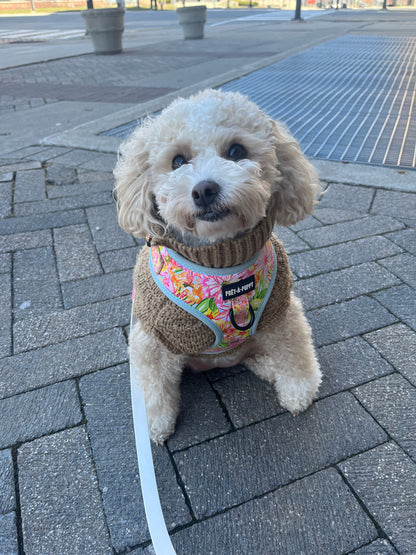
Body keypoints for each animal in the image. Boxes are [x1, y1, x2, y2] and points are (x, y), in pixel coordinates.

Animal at [114, 89, 322, 446]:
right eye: (178, 161)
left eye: (236, 151)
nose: (204, 189)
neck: (221, 263)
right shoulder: (150, 338)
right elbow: (154, 385)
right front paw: (155, 424)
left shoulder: (281, 312)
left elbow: (295, 353)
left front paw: (299, 390)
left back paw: (266, 364)